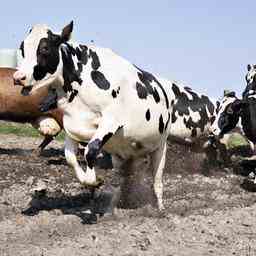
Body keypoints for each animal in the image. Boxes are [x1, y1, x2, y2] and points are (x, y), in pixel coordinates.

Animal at [13, 21, 220, 210]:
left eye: (45, 48)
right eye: (22, 48)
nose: (18, 78)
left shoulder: (110, 122)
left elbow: (90, 151)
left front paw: (94, 180)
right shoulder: (73, 127)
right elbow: (71, 158)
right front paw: (91, 182)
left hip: (160, 148)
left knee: (157, 181)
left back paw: (160, 209)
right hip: (125, 156)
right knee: (126, 179)